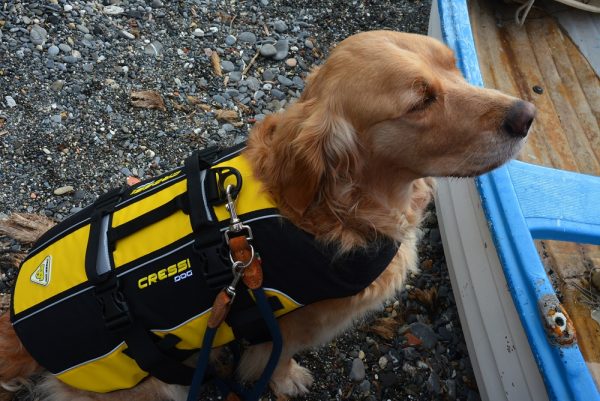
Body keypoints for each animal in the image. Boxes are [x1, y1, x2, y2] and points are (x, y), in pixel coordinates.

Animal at [0, 32, 536, 400]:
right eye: (421, 101)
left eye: (454, 65)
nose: (526, 115)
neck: (335, 207)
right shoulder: (286, 327)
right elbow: (274, 361)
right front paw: (289, 379)